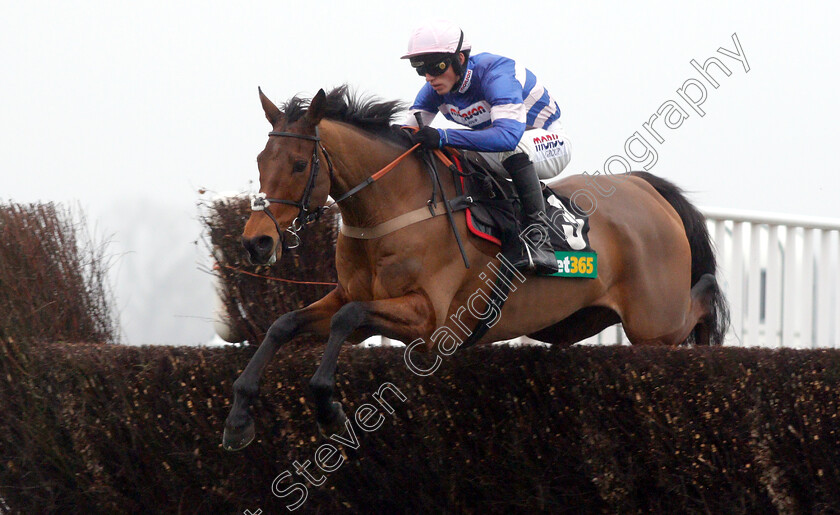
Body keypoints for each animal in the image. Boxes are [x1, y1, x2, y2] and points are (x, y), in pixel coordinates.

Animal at [221, 85, 728, 452]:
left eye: (299, 164)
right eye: (261, 161)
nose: (256, 241)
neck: (394, 207)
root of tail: (647, 189)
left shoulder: (429, 319)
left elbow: (346, 320)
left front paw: (328, 405)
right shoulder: (350, 294)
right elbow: (284, 324)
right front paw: (239, 417)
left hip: (654, 323)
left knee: (701, 298)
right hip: (588, 319)